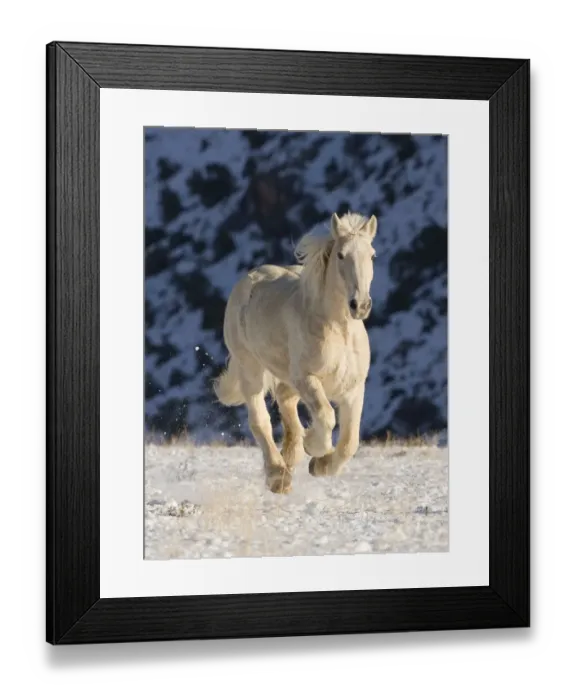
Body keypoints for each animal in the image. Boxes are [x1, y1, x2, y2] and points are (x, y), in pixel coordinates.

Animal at [213, 211, 377, 494]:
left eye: (372, 255)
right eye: (340, 255)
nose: (360, 305)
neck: (338, 330)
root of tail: (249, 279)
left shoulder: (353, 388)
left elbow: (350, 442)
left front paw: (320, 465)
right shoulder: (307, 379)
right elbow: (326, 416)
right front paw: (315, 447)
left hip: (285, 376)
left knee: (285, 403)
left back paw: (291, 458)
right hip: (250, 368)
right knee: (260, 420)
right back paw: (278, 476)